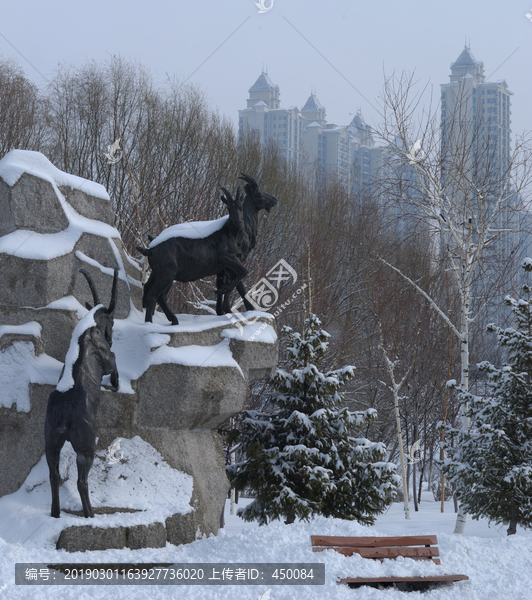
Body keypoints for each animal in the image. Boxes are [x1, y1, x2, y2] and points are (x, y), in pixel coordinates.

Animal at [44, 270, 119, 516]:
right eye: (112, 321)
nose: (110, 337)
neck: (89, 327)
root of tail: (64, 416)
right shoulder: (107, 359)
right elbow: (113, 361)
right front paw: (116, 383)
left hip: (51, 442)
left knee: (54, 475)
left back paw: (56, 513)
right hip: (85, 447)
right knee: (81, 481)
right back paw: (90, 514)